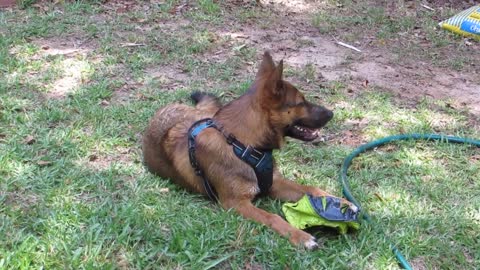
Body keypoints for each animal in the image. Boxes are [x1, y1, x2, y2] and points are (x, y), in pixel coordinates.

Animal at [142, 51, 356, 250]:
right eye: (300, 103)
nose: (331, 113)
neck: (242, 145)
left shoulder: (274, 183)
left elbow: (310, 189)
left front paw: (341, 202)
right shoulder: (235, 203)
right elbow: (272, 217)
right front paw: (300, 236)